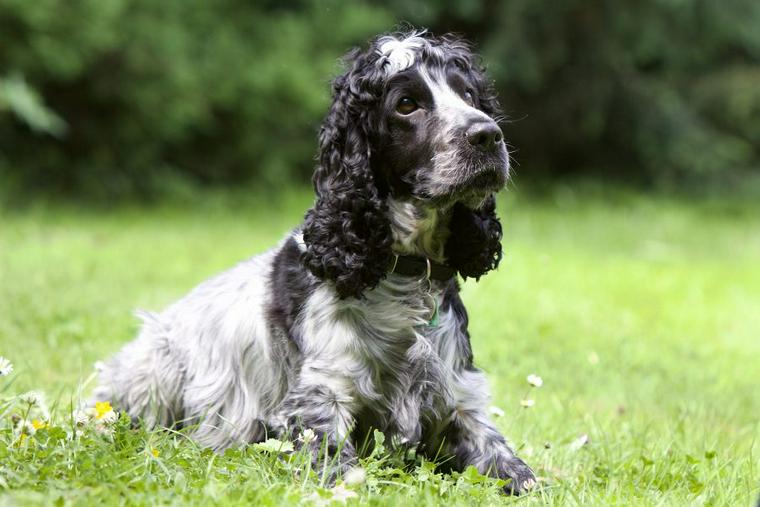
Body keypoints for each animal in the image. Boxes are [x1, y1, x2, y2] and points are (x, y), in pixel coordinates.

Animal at [93, 30, 536, 496]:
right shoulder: (319, 398)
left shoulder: (457, 399)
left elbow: (515, 469)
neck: (403, 275)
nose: (487, 136)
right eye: (406, 104)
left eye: (469, 95)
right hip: (155, 368)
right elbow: (341, 468)